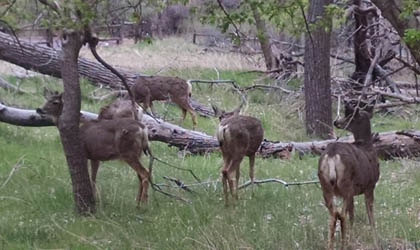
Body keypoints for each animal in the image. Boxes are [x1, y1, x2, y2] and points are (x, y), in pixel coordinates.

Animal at [318, 101, 380, 250]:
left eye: (350, 117)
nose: (336, 122)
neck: (367, 147)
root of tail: (332, 155)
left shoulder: (356, 192)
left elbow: (353, 215)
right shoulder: (370, 186)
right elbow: (370, 217)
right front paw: (376, 242)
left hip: (325, 185)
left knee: (333, 215)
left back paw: (331, 245)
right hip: (347, 185)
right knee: (342, 214)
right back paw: (344, 244)